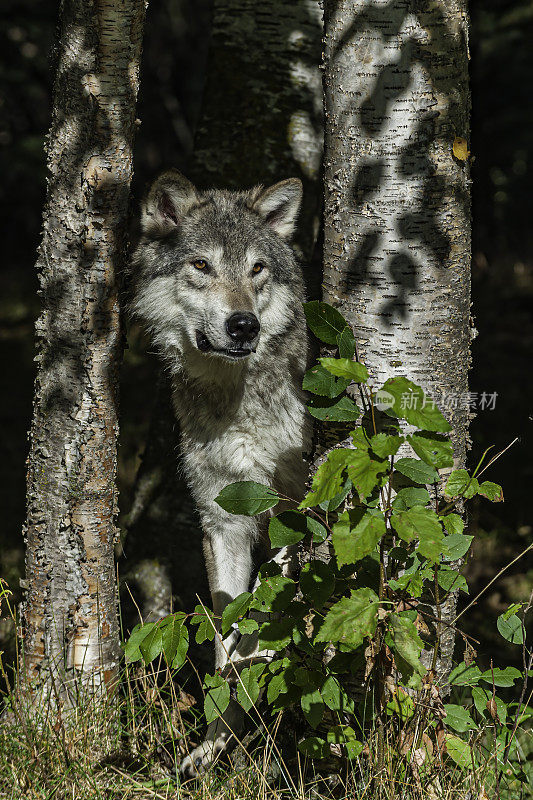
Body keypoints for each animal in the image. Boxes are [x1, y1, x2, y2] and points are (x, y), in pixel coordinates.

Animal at [130, 172, 312, 780]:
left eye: (256, 268)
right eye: (202, 265)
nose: (243, 324)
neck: (235, 402)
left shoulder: (294, 511)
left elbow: (262, 617)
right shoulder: (222, 521)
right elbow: (224, 644)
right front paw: (212, 747)